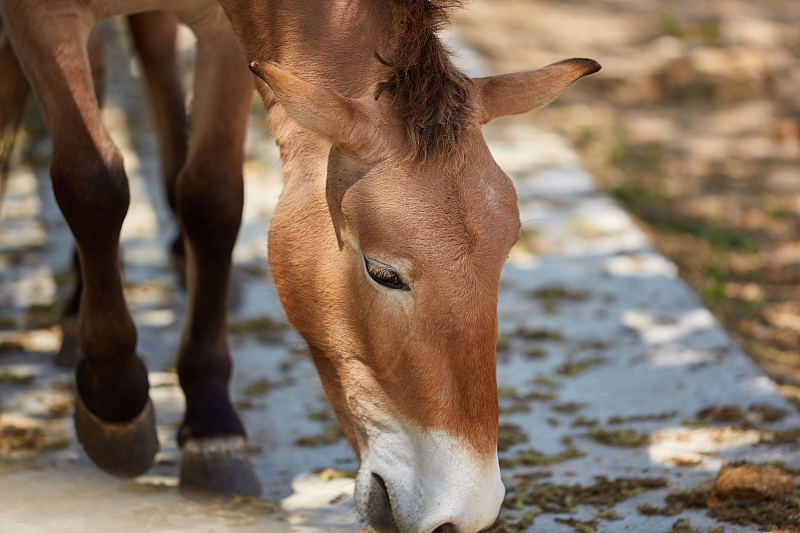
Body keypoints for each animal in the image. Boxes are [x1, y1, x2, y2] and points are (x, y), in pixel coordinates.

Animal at [1, 1, 600, 532]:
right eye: (383, 273)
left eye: (505, 257)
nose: (465, 511)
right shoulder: (42, 19)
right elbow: (92, 184)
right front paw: (116, 401)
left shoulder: (225, 33)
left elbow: (212, 199)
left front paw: (211, 423)